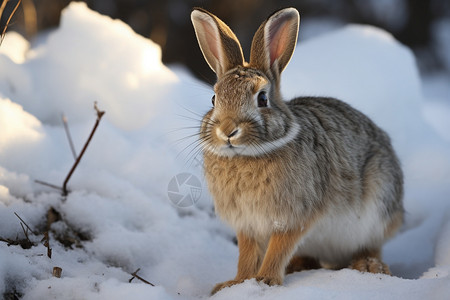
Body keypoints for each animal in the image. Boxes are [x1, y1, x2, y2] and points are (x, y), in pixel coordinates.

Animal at [190, 5, 404, 294]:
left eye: (262, 98)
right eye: (214, 98)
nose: (228, 130)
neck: (247, 155)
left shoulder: (295, 215)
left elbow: (279, 247)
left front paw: (266, 280)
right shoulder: (246, 224)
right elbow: (247, 254)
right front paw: (235, 284)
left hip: (380, 200)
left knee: (371, 245)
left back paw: (370, 266)